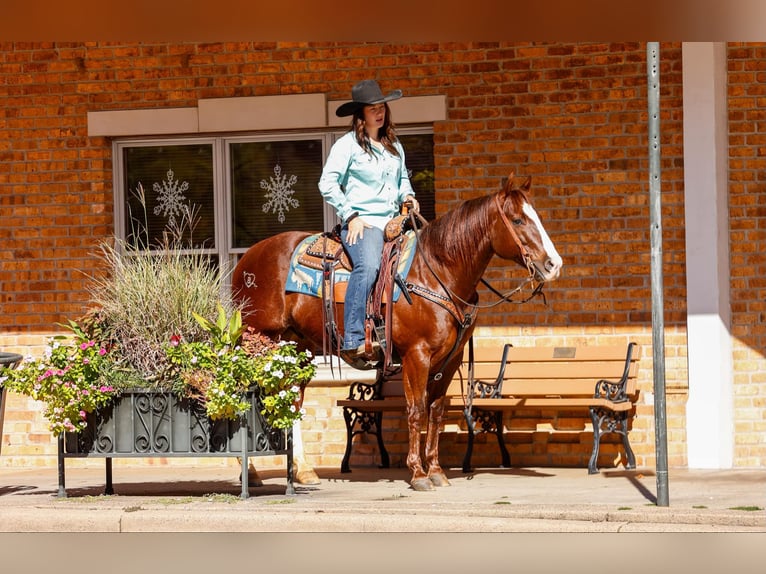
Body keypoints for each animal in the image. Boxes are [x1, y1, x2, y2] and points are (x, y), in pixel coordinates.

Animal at [232, 174, 563, 491]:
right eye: (517, 220)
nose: (554, 264)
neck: (437, 271)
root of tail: (247, 258)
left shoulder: (450, 361)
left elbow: (436, 412)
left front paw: (437, 471)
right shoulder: (416, 355)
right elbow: (416, 411)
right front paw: (418, 474)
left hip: (296, 346)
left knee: (292, 400)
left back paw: (303, 471)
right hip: (255, 341)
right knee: (243, 391)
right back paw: (251, 471)